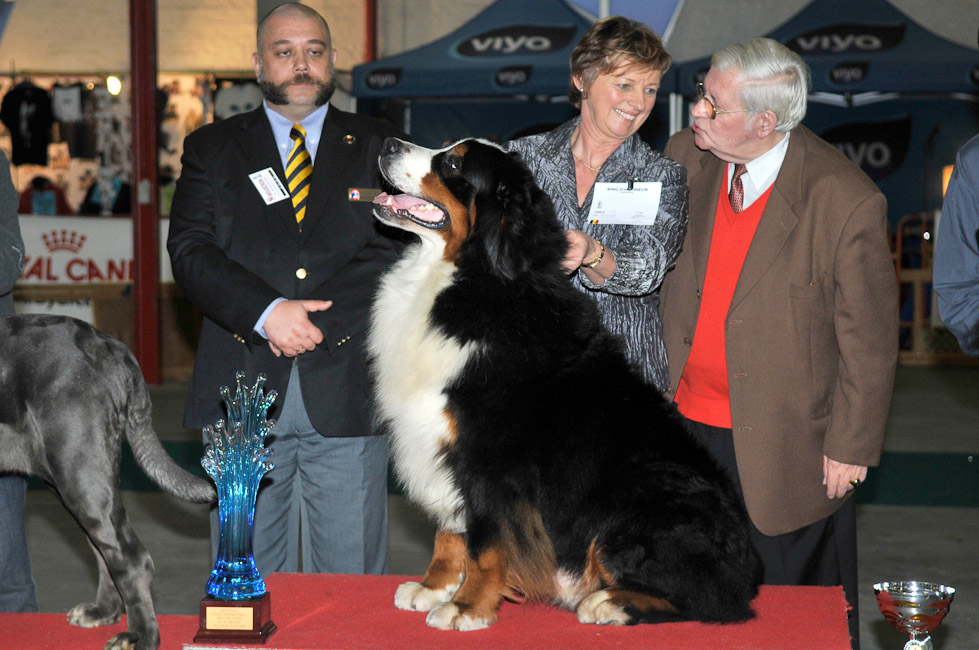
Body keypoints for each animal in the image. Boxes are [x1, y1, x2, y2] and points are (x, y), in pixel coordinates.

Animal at [0, 312, 216, 644]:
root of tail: (112, 348)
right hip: (88, 478)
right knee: (106, 550)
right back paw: (103, 611)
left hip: (77, 472)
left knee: (131, 559)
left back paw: (141, 637)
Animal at [370, 135, 764, 628]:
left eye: (455, 164)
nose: (388, 143)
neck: (473, 278)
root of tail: (749, 567)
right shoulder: (443, 444)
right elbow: (450, 531)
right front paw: (432, 588)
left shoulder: (490, 459)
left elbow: (487, 541)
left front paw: (466, 607)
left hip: (642, 495)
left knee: (714, 601)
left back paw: (606, 602)